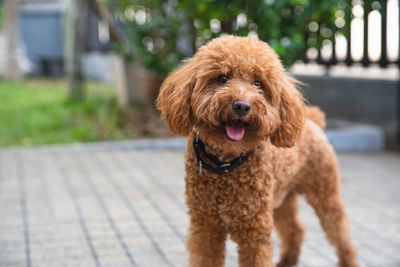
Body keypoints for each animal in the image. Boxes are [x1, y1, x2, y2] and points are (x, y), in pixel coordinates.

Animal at [155, 36, 356, 267]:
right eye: (222, 78)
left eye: (258, 83)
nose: (242, 106)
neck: (226, 165)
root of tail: (312, 122)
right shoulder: (206, 226)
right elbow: (205, 257)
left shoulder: (254, 230)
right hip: (281, 199)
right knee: (296, 229)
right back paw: (287, 260)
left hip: (324, 191)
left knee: (340, 232)